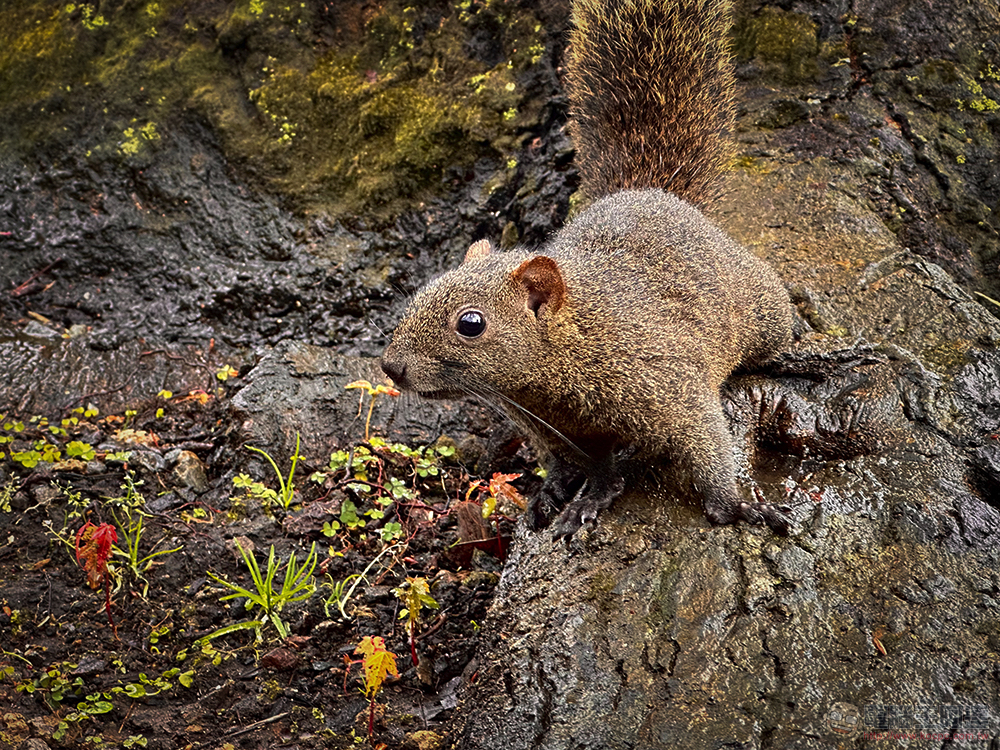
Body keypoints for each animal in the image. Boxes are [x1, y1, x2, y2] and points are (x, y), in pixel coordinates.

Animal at [378, 0, 792, 540]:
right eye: (422, 291)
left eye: (471, 324)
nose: (391, 367)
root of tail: (655, 193)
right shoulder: (552, 428)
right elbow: (592, 467)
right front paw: (587, 495)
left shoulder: (669, 383)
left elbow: (705, 442)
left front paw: (735, 505)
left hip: (761, 308)